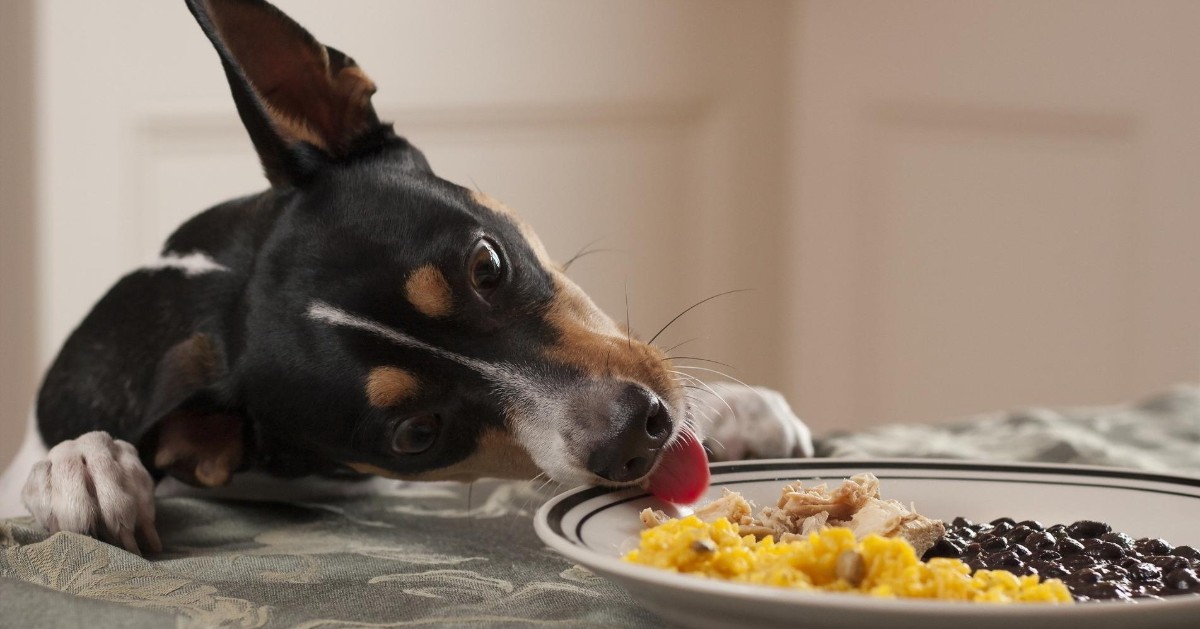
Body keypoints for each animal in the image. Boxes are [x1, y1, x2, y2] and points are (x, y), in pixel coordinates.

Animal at [11, 0, 816, 554]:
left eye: (487, 264)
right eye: (416, 434)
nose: (635, 435)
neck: (209, 284)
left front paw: (732, 411)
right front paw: (80, 465)